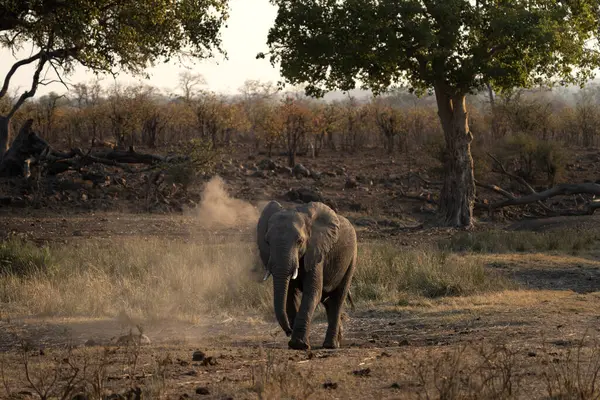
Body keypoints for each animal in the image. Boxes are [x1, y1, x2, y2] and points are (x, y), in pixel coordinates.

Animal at [256, 200, 356, 350]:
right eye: (267, 241)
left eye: (300, 241)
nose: (288, 330)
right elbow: (289, 294)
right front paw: (298, 342)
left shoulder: (316, 252)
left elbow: (312, 291)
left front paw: (299, 344)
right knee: (328, 302)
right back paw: (336, 342)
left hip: (351, 258)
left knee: (338, 297)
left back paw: (330, 345)